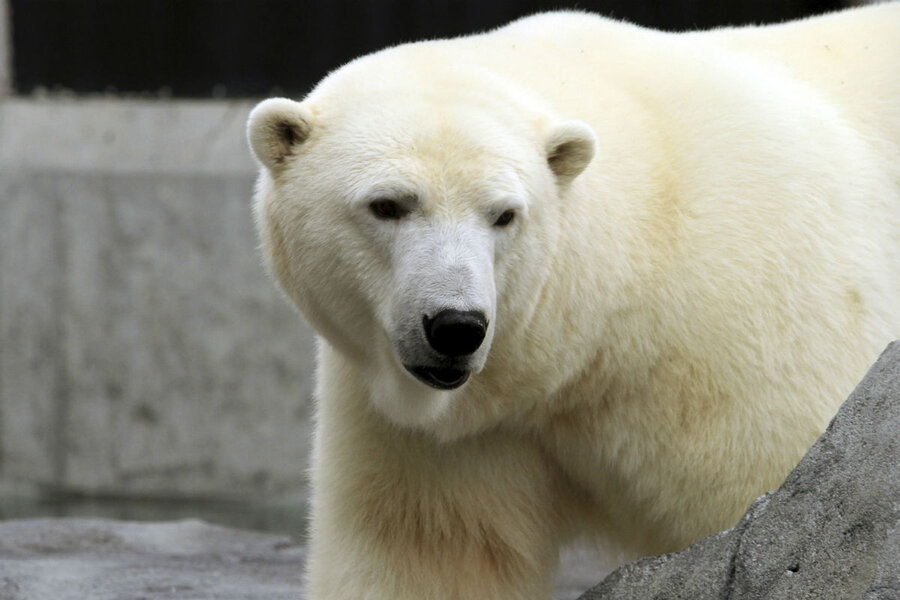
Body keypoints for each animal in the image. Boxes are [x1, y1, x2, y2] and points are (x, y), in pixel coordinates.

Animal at [246, 4, 900, 600]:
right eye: (388, 205)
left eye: (504, 215)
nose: (456, 327)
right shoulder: (450, 433)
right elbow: (427, 554)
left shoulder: (747, 357)